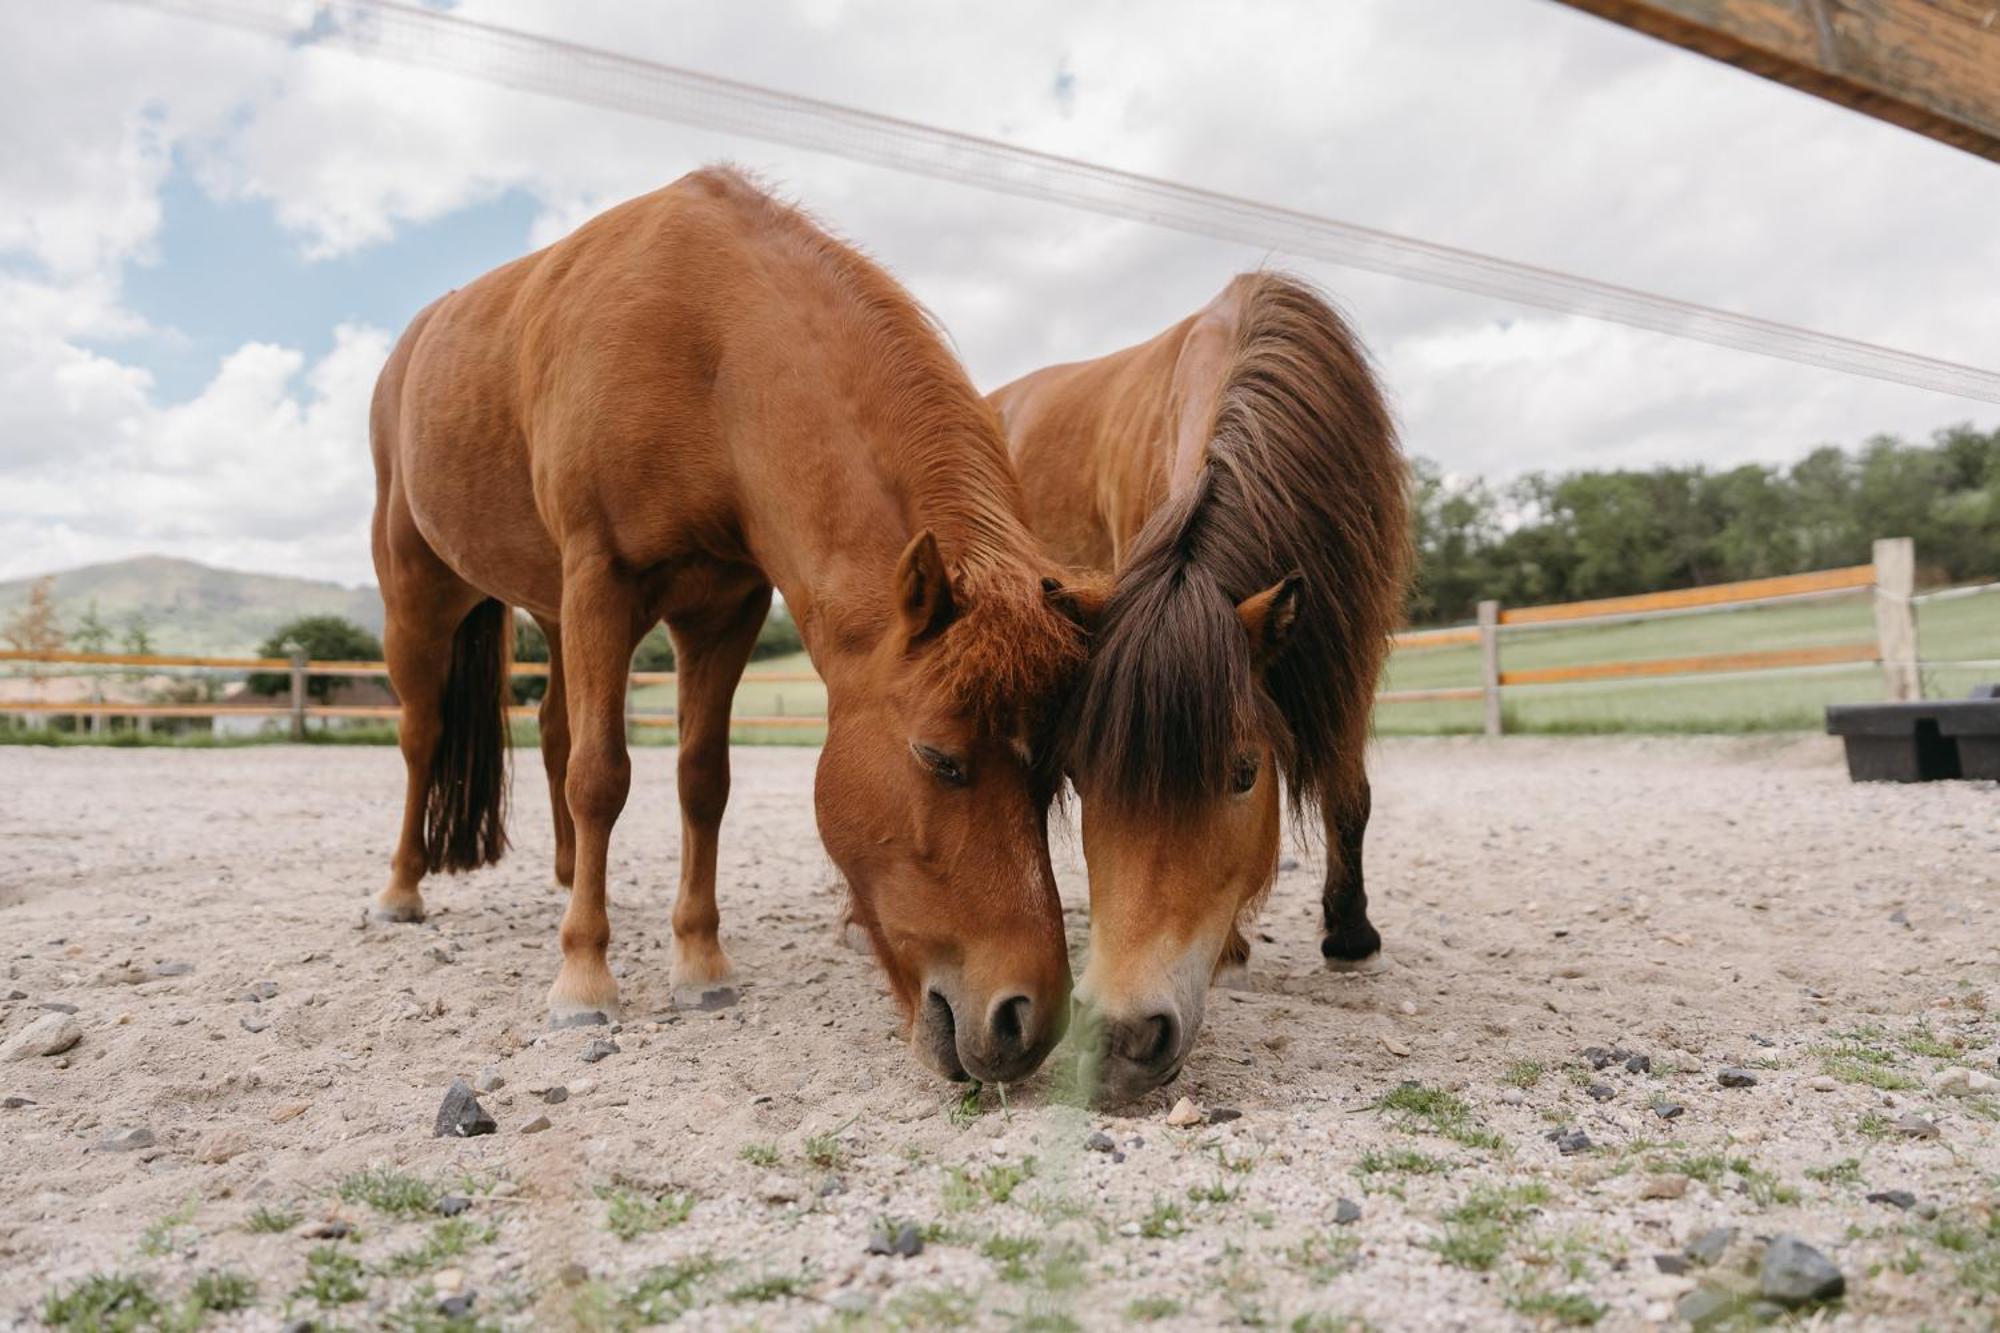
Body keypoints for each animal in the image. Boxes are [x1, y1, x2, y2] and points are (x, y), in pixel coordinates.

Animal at [374, 166, 1096, 1080]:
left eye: (1055, 778)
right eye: (939, 758)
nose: (1026, 1020)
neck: (705, 348)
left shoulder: (727, 609)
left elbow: (701, 779)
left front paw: (700, 964)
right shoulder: (601, 582)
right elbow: (600, 776)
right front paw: (584, 978)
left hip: (550, 606)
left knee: (551, 727)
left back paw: (569, 874)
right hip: (418, 593)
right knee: (422, 734)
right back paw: (402, 888)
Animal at [988, 272, 1408, 1096]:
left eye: (1244, 773)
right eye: (1084, 776)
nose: (1116, 1037)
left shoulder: (1354, 648)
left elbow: (1350, 794)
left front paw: (1351, 936)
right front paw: (1238, 950)